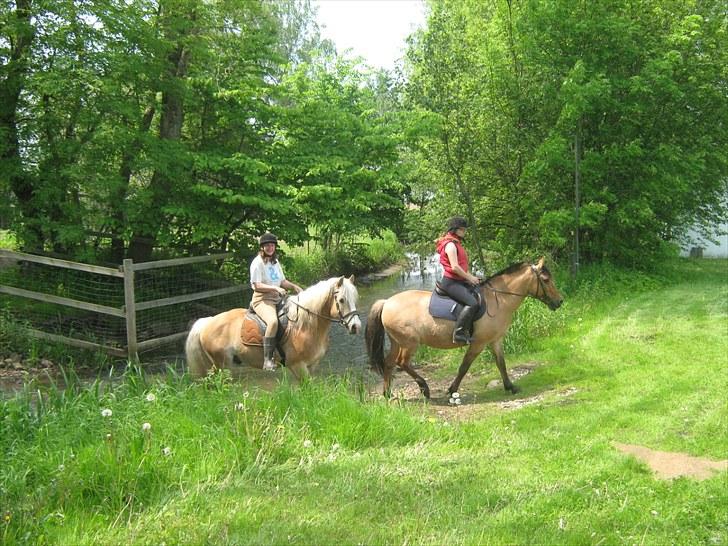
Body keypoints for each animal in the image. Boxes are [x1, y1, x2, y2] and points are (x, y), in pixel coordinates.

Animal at [185, 276, 362, 378]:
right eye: (341, 300)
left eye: (355, 298)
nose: (356, 327)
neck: (305, 325)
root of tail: (207, 322)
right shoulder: (298, 366)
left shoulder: (311, 365)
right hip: (221, 364)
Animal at [366, 258, 564, 398]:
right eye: (546, 279)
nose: (560, 301)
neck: (498, 300)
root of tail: (387, 302)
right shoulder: (478, 343)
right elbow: (464, 367)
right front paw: (452, 389)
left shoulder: (495, 340)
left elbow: (501, 363)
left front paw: (511, 387)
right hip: (409, 343)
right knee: (402, 363)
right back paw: (424, 388)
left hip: (397, 341)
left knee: (389, 363)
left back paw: (387, 393)